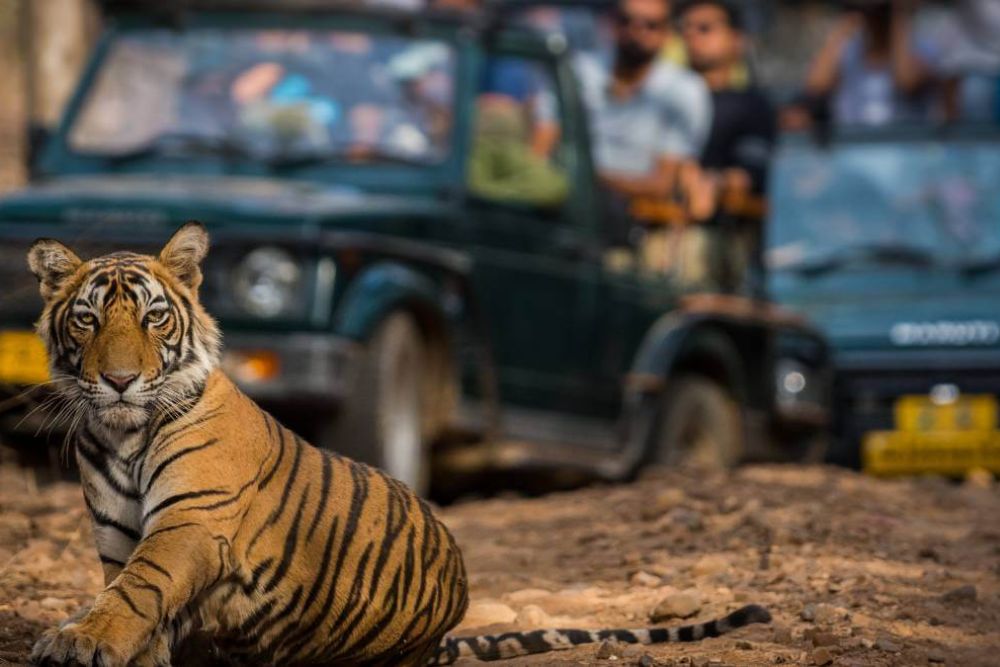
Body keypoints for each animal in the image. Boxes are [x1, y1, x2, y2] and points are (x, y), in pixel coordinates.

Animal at [25, 222, 772, 664]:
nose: (121, 380)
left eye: (153, 318)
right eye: (88, 319)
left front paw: (80, 639)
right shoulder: (117, 535)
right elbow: (134, 597)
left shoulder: (191, 521)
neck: (122, 434)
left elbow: (139, 590)